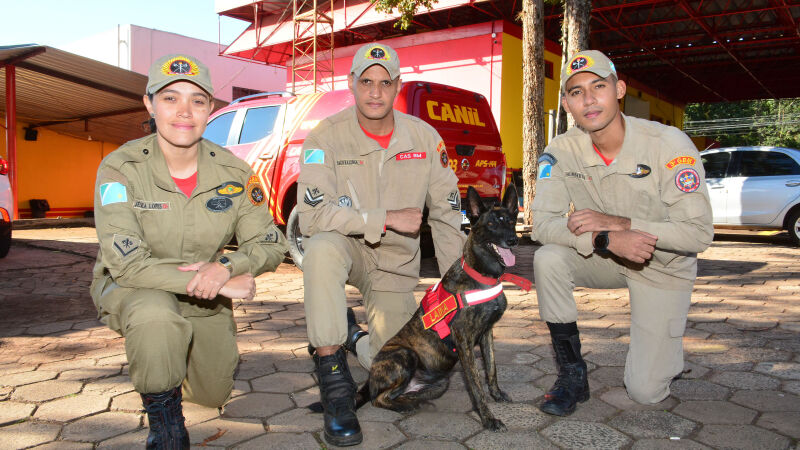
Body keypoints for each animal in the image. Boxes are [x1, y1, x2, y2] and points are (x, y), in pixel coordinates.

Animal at [356, 184, 524, 432]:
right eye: (492, 225)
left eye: (511, 222)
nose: (513, 240)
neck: (482, 277)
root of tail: (370, 379)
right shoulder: (464, 342)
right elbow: (476, 386)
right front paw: (488, 418)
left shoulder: (487, 334)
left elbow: (492, 369)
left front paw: (497, 394)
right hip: (405, 355)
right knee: (379, 399)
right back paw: (406, 405)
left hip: (440, 382)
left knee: (399, 395)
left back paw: (416, 402)